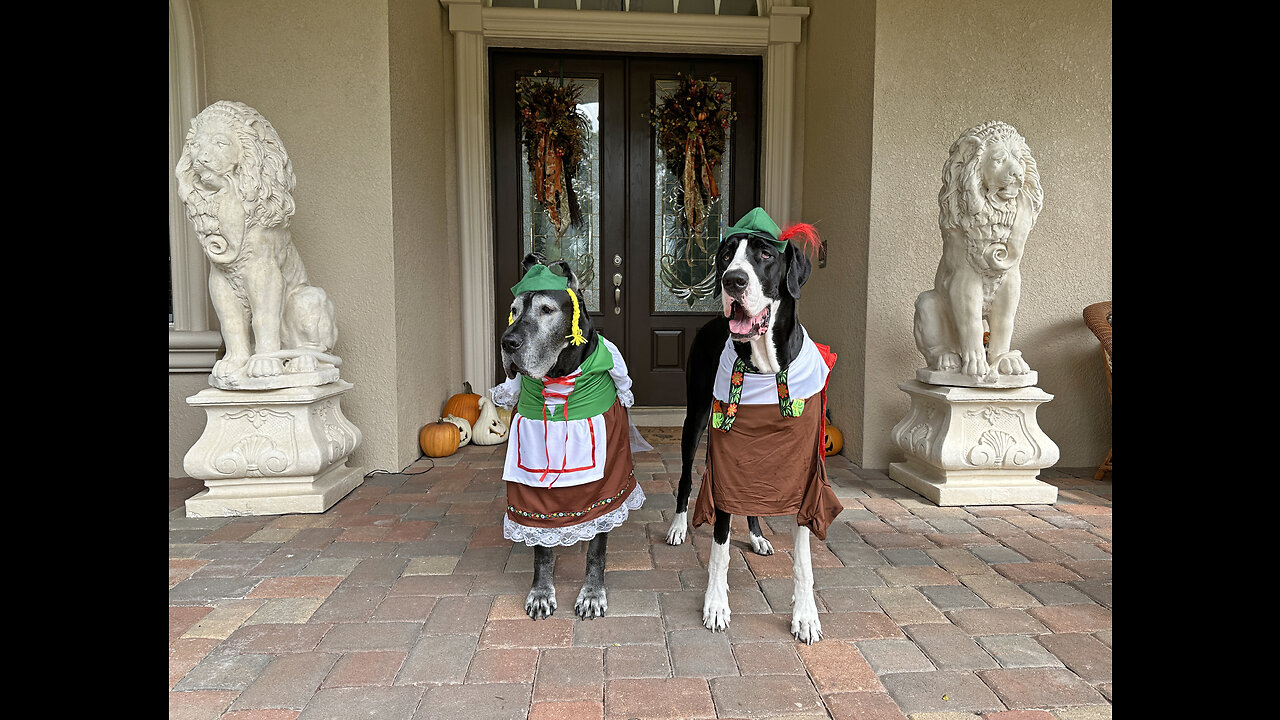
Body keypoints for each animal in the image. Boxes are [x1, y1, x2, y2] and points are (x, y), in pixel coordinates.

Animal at [494, 254, 645, 620]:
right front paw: (541, 591)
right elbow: (540, 545)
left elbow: (597, 545)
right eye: (513, 310)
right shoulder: (529, 473)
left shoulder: (609, 478)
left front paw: (592, 593)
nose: (507, 343)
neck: (559, 381)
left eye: (547, 309)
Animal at [665, 207, 834, 638]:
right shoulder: (726, 461)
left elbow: (804, 560)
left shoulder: (805, 473)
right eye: (726, 255)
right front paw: (715, 605)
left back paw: (758, 537)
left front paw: (806, 615)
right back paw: (678, 526)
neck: (766, 368)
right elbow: (719, 550)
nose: (732, 281)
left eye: (765, 255)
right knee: (686, 477)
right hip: (695, 420)